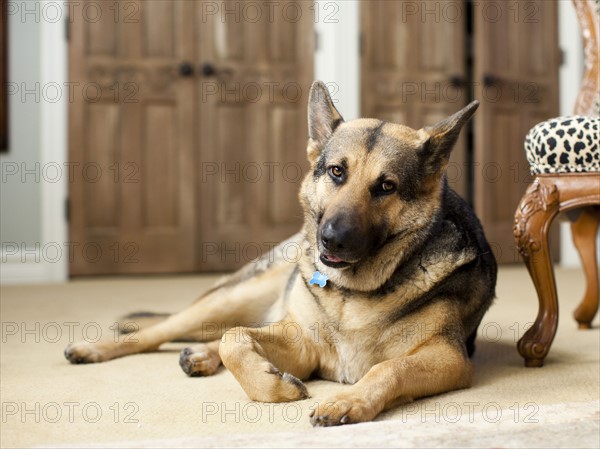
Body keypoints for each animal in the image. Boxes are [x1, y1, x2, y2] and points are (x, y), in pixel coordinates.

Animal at [65, 81, 496, 428]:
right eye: (337, 172)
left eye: (386, 186)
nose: (331, 241)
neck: (353, 293)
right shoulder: (304, 345)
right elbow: (235, 340)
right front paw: (276, 386)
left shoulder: (448, 358)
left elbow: (389, 369)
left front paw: (348, 400)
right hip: (233, 298)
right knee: (165, 332)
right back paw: (97, 349)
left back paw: (200, 355)